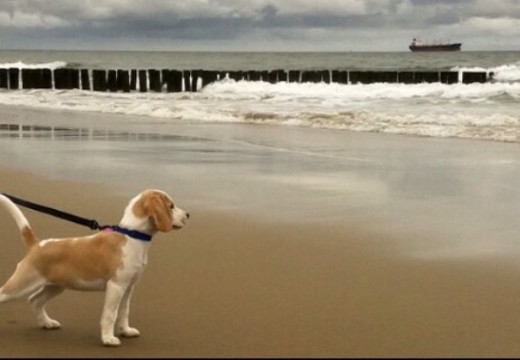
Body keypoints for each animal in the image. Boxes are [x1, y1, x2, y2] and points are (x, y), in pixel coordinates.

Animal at [0, 188, 190, 346]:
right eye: (171, 206)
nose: (188, 214)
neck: (132, 235)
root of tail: (36, 245)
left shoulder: (128, 288)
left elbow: (124, 312)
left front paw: (126, 331)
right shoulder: (116, 286)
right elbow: (110, 315)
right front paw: (108, 338)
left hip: (55, 286)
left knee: (35, 300)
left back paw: (47, 323)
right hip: (20, 285)